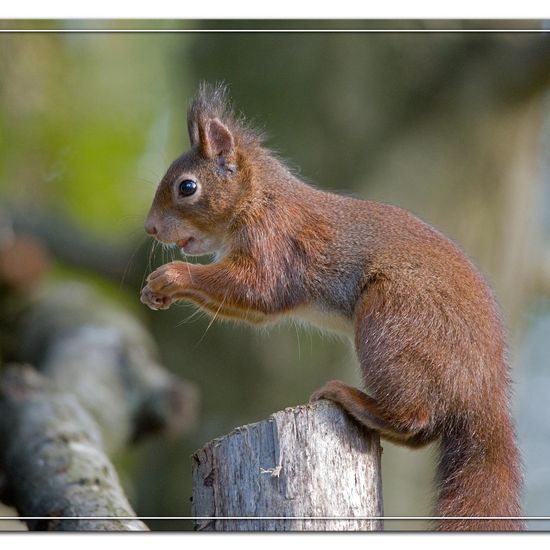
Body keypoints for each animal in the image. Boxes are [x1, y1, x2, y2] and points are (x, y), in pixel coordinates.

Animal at [141, 84, 528, 532]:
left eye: (187, 188)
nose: (150, 228)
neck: (260, 199)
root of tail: (484, 390)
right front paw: (155, 292)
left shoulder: (277, 242)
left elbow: (257, 288)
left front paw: (171, 276)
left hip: (393, 319)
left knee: (415, 417)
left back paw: (350, 397)